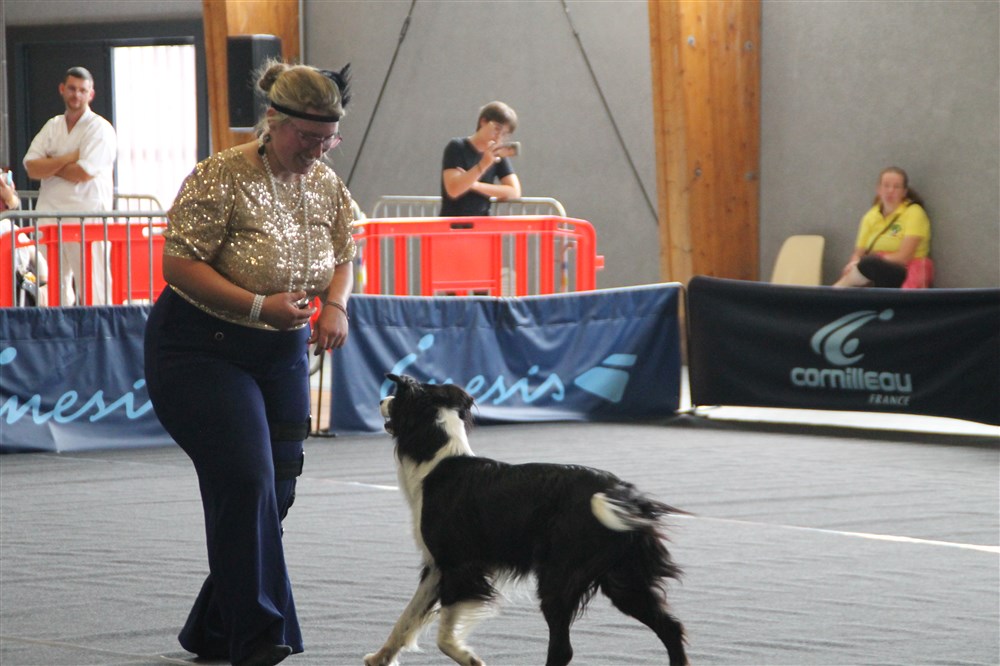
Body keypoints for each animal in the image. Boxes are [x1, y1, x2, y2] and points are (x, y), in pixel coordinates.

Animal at [364, 374, 687, 666]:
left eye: (398, 397)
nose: (380, 400)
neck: (438, 460)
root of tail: (622, 493)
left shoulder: (459, 566)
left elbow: (444, 635)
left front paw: (469, 658)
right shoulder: (437, 567)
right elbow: (406, 619)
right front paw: (380, 657)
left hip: (560, 576)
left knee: (563, 649)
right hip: (622, 579)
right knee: (671, 628)